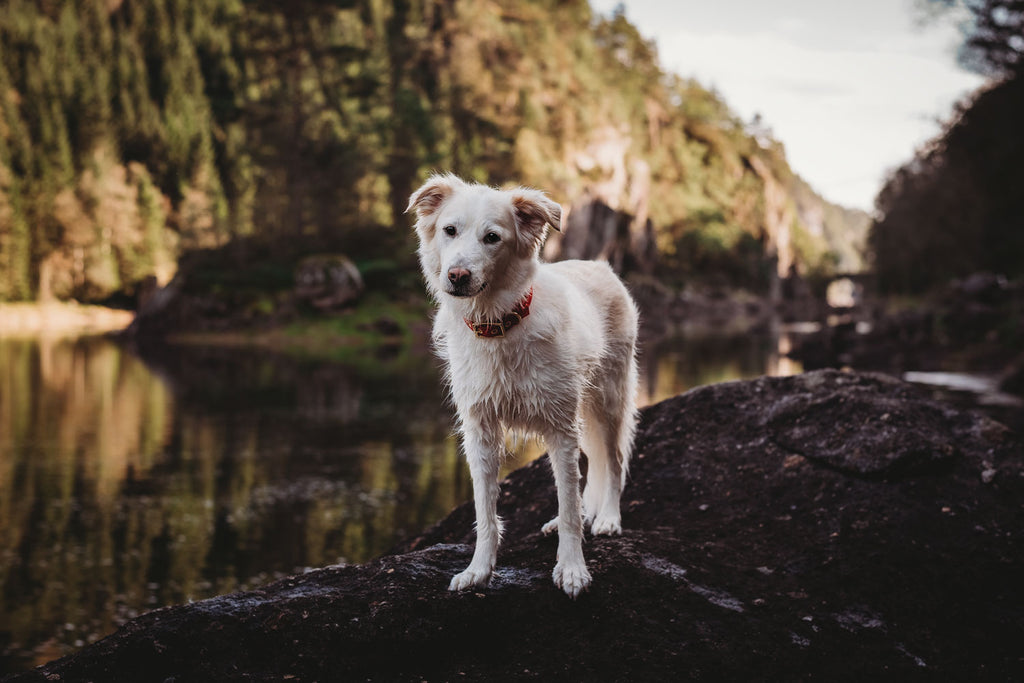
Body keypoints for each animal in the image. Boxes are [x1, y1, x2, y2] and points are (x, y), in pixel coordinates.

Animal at [403, 175, 634, 598]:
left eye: (492, 237)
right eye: (449, 230)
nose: (457, 276)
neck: (498, 325)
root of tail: (599, 265)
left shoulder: (560, 428)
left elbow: (569, 499)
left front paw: (572, 569)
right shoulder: (480, 431)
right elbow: (485, 511)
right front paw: (479, 570)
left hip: (609, 398)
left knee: (613, 461)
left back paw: (608, 518)